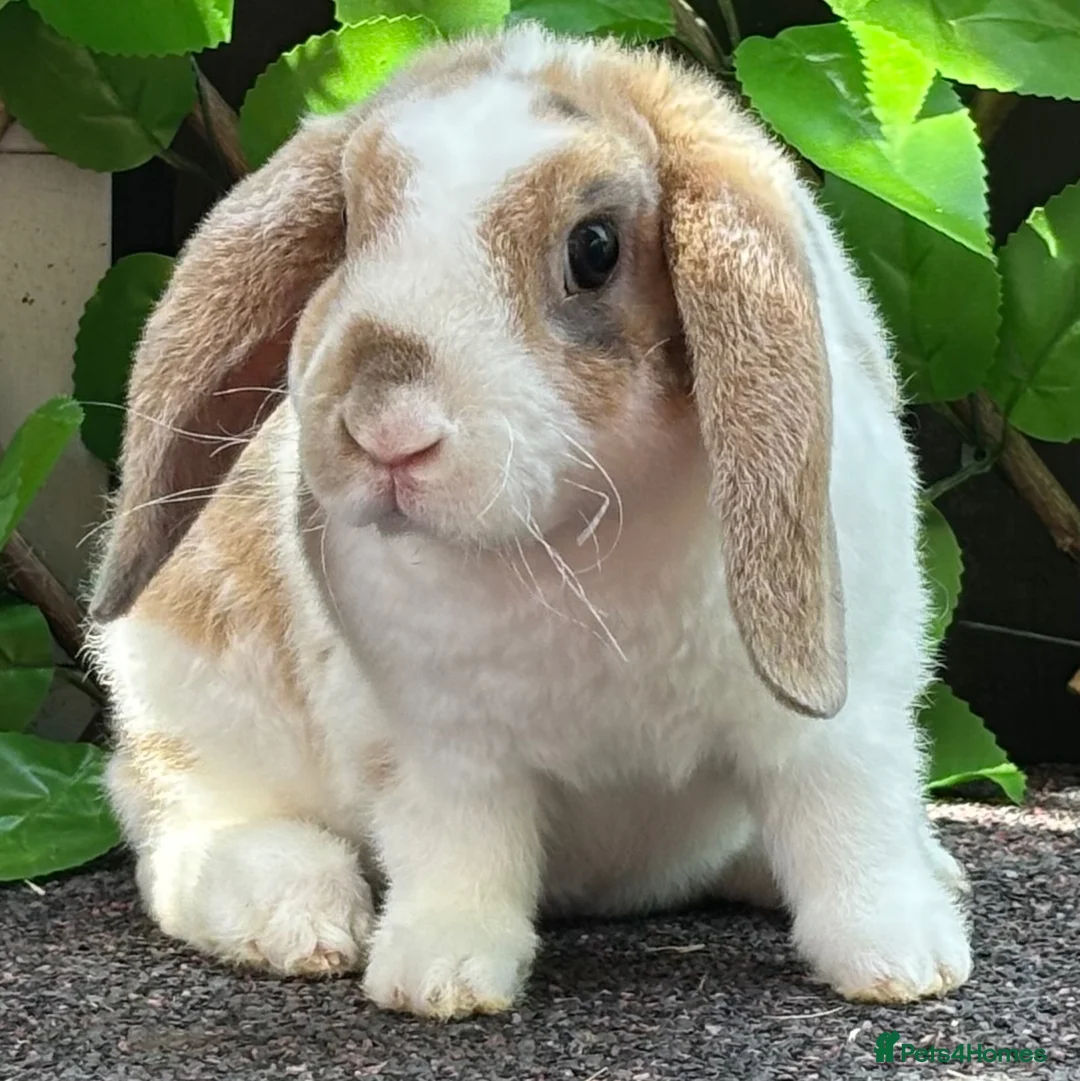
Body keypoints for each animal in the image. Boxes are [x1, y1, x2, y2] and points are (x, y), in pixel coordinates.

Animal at [87, 22, 972, 1020]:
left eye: (595, 247)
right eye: (349, 224)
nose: (385, 430)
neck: (580, 528)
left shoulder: (837, 728)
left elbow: (847, 830)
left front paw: (904, 963)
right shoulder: (447, 750)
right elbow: (460, 850)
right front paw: (440, 977)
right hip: (186, 701)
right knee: (174, 830)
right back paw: (299, 916)